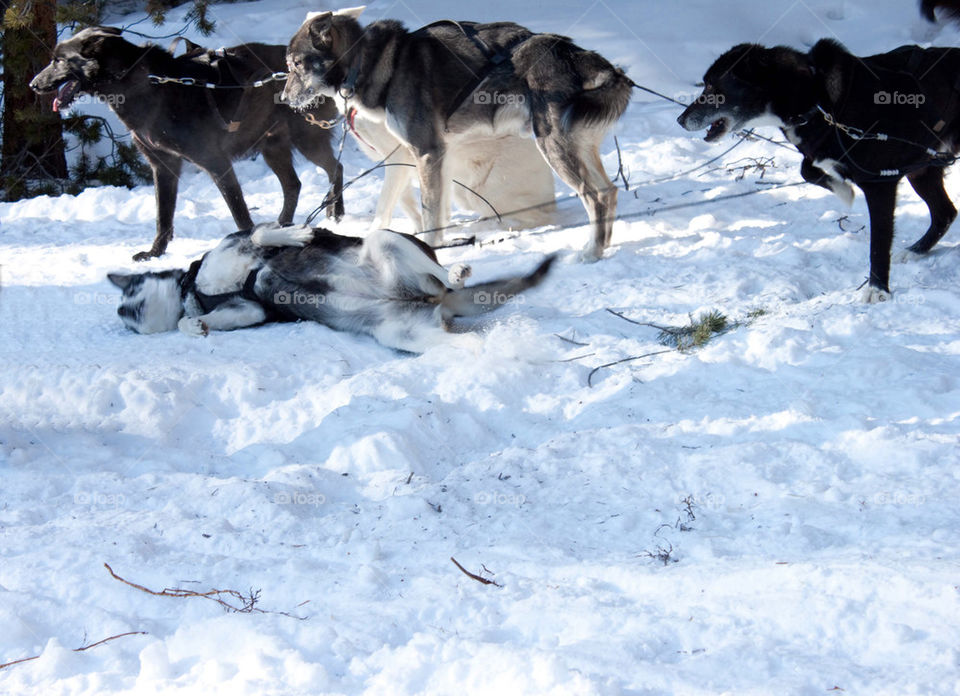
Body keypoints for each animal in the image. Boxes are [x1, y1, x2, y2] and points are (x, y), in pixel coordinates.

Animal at [107, 224, 556, 350]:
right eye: (128, 313)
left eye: (130, 299)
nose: (119, 311)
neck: (193, 289)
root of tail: (429, 298)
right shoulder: (248, 311)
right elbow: (200, 322)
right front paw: (194, 326)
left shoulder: (239, 246)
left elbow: (264, 233)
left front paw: (295, 234)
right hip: (401, 334)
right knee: (462, 342)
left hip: (384, 240)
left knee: (442, 274)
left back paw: (456, 273)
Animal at [282, 6, 632, 260]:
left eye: (296, 63)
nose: (284, 99)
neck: (372, 62)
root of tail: (580, 56)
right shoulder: (430, 158)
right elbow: (430, 212)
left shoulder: (426, 153)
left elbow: (429, 216)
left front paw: (434, 249)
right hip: (578, 148)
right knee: (609, 192)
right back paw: (602, 244)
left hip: (552, 147)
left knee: (595, 197)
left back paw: (591, 252)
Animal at [676, 38, 960, 300]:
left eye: (712, 86)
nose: (680, 120)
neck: (817, 99)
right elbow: (807, 169)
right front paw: (844, 189)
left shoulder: (878, 184)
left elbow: (878, 243)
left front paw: (877, 290)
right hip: (922, 170)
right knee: (945, 212)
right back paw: (916, 250)